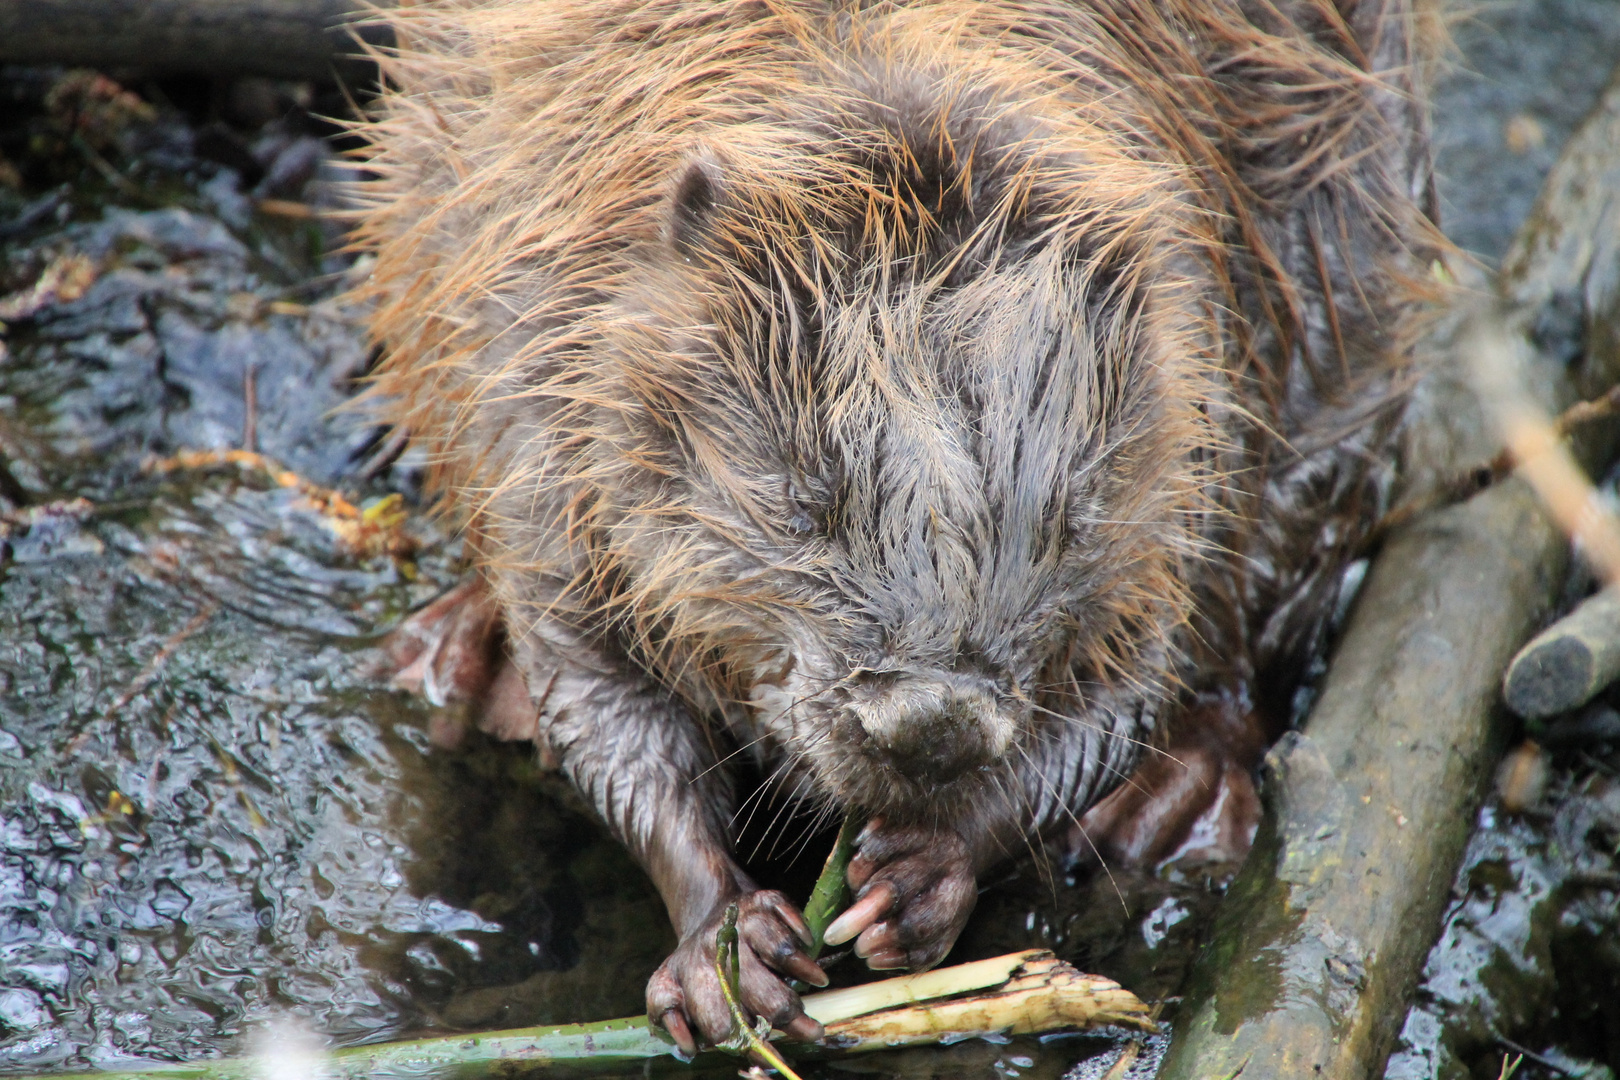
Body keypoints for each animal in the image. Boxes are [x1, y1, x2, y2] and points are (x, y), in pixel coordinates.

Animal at [354, 0, 1445, 1049]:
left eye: (1068, 521)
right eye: (802, 498)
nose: (932, 728)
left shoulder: (1184, 439)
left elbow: (1127, 694)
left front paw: (918, 875)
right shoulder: (548, 396)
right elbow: (594, 692)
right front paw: (726, 955)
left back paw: (1180, 807)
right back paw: (458, 656)